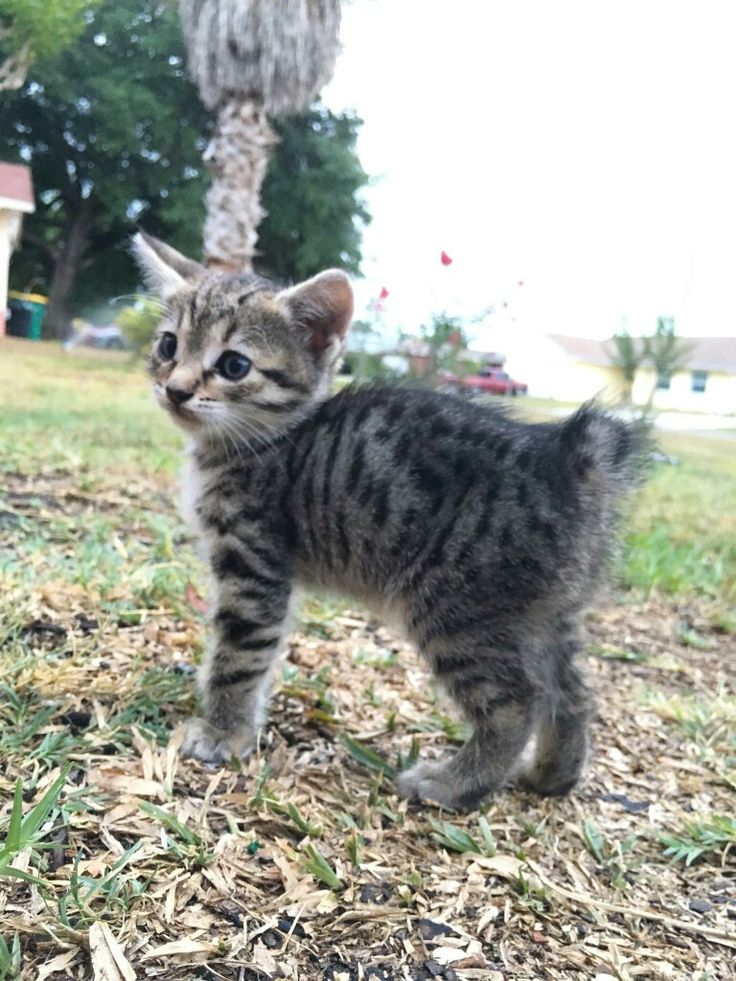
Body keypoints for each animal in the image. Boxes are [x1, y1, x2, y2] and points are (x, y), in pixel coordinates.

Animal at [134, 232, 644, 812]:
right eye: (169, 346)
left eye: (234, 365)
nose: (175, 388)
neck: (263, 441)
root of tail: (568, 458)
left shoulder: (253, 563)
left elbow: (238, 655)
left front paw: (223, 732)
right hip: (543, 613)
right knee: (573, 691)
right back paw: (553, 774)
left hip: (452, 608)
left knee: (518, 702)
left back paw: (456, 783)